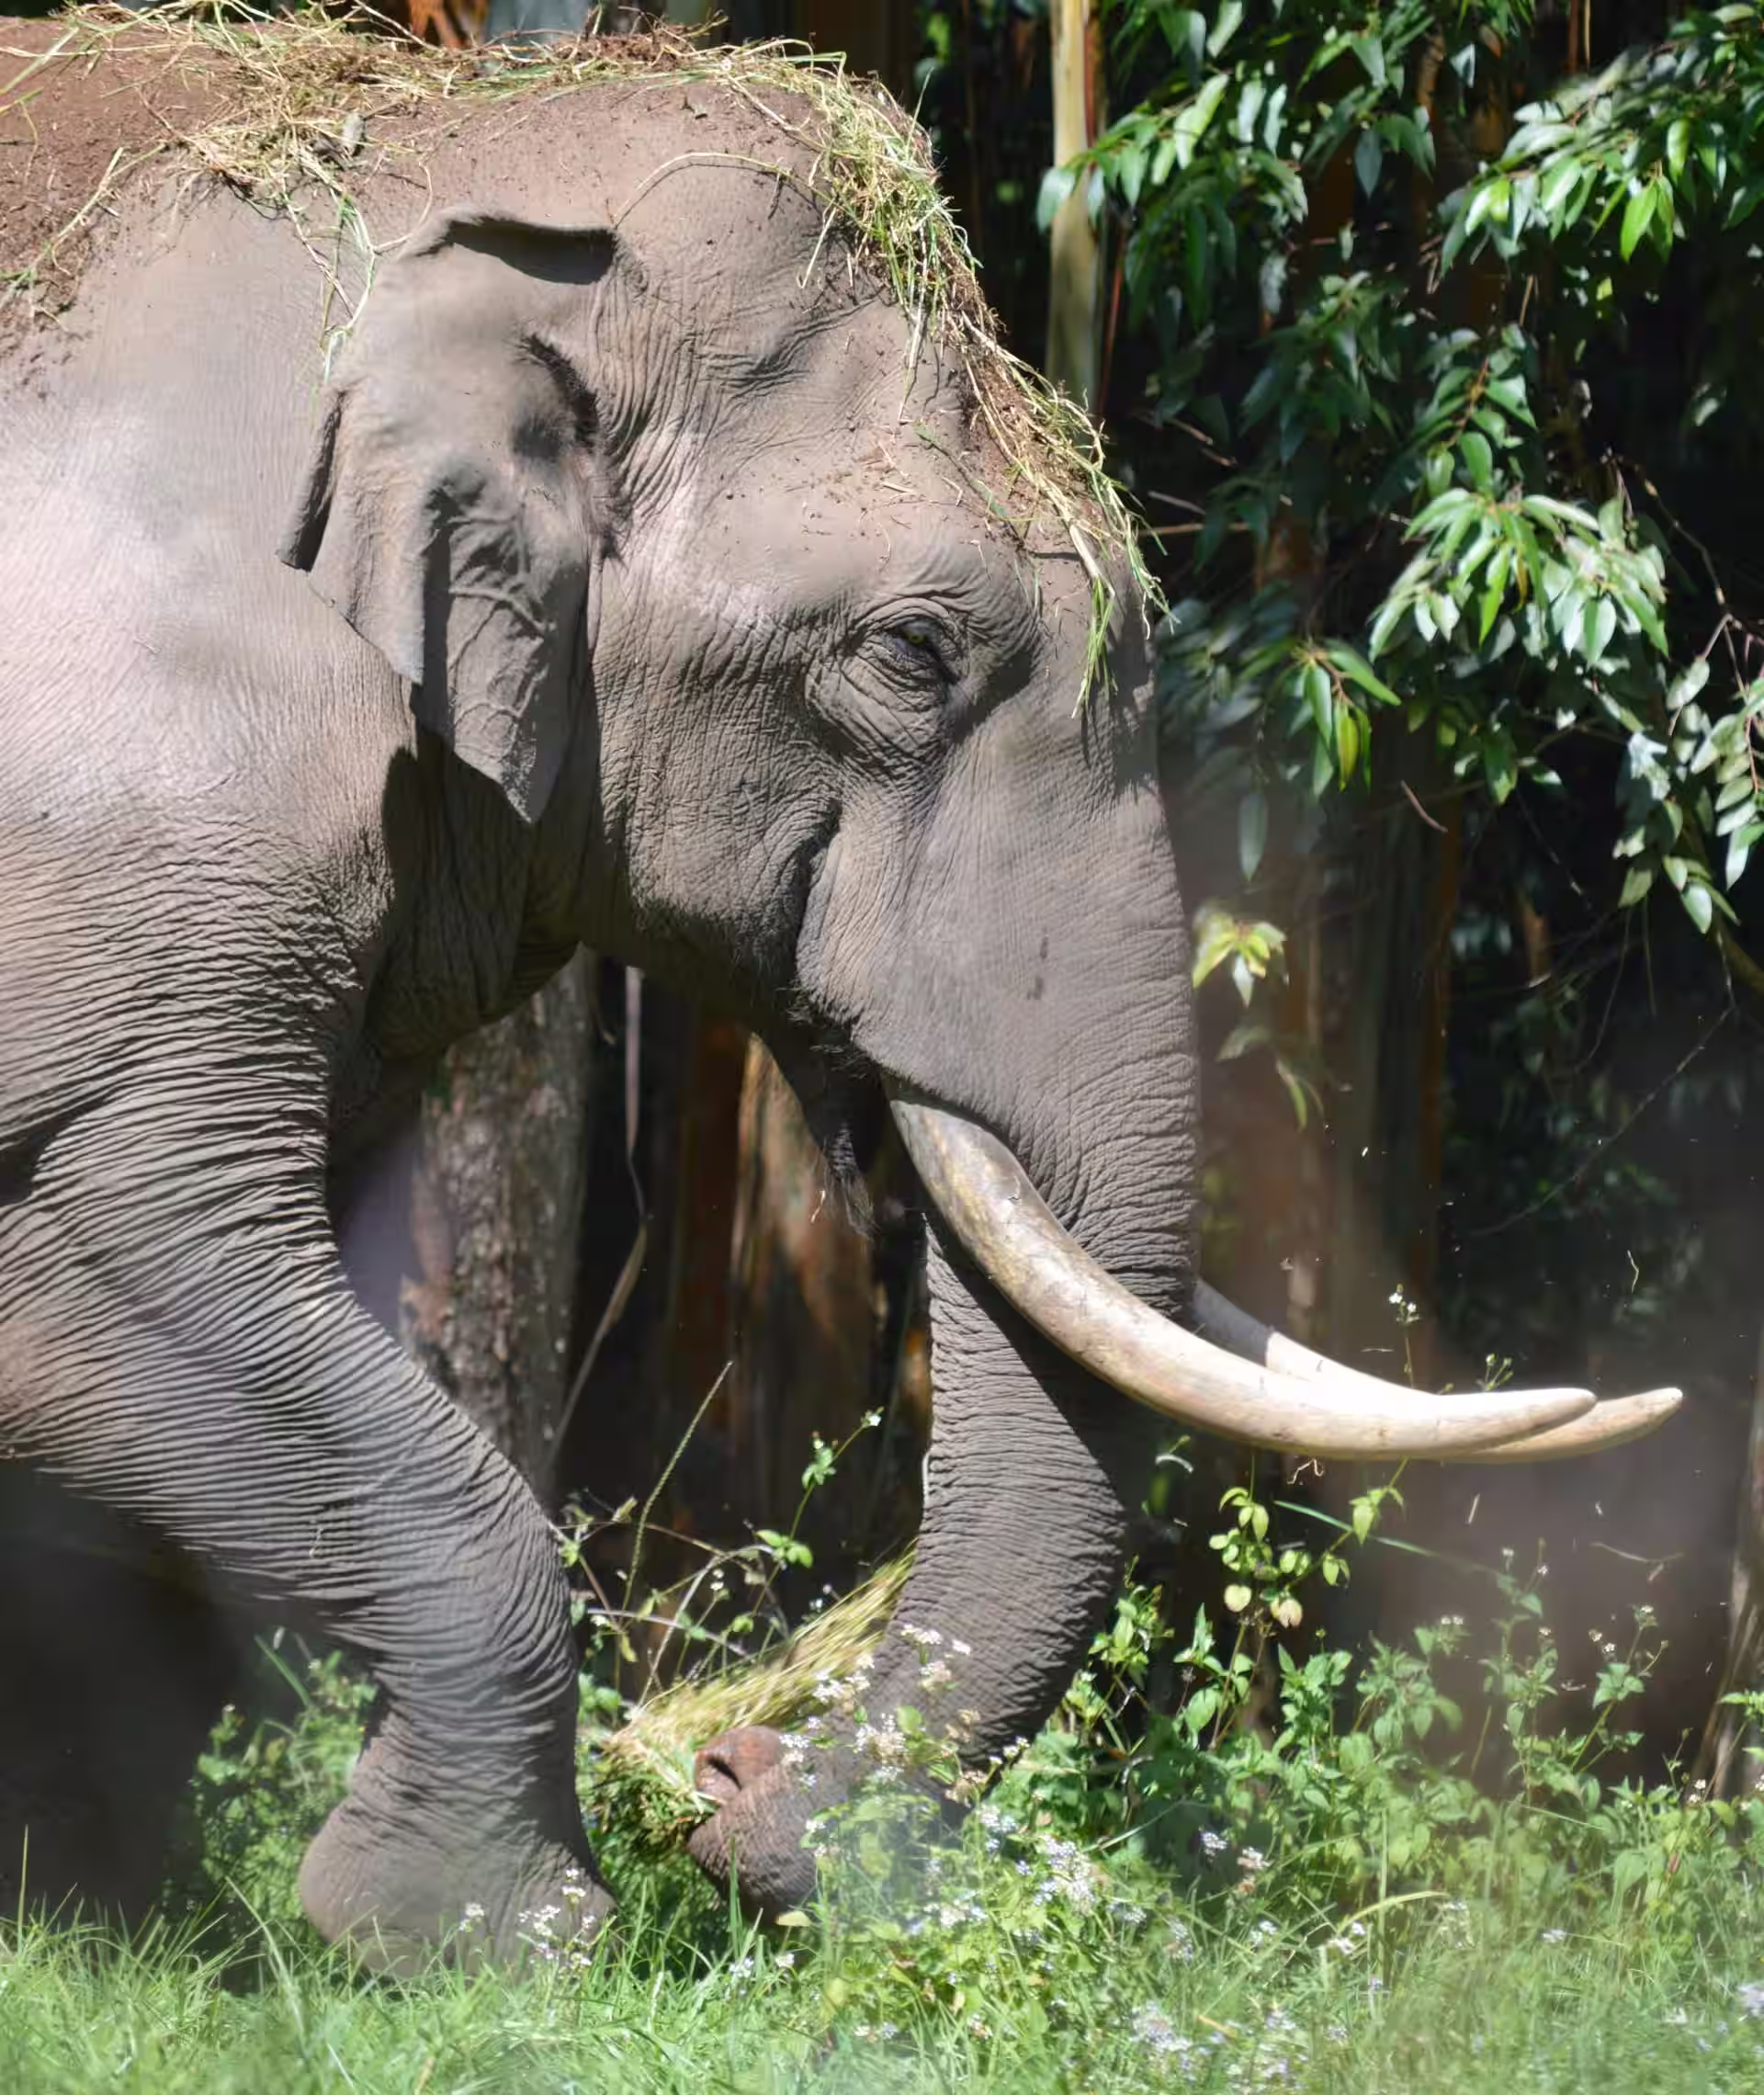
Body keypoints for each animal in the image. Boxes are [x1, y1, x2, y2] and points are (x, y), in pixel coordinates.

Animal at [0, 13, 1679, 1970]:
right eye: (913, 654)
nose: (735, 1784)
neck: (429, 151)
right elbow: (115, 1278)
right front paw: (486, 1941)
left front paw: (116, 1919)